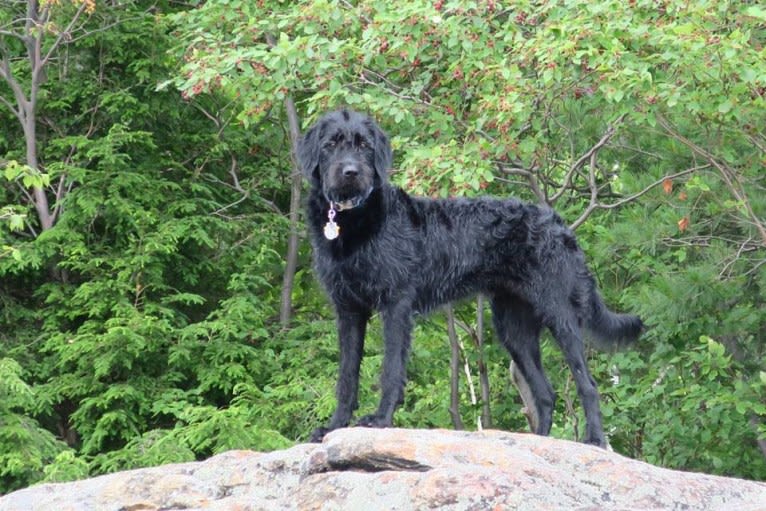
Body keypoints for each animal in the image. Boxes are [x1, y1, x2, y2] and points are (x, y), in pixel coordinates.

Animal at [296, 109, 644, 448]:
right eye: (331, 144)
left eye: (364, 145)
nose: (351, 171)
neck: (352, 219)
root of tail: (559, 223)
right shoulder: (348, 310)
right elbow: (346, 377)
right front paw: (334, 427)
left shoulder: (395, 305)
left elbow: (391, 369)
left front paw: (381, 420)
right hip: (514, 328)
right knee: (545, 394)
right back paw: (540, 442)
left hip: (560, 314)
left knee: (587, 383)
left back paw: (594, 439)